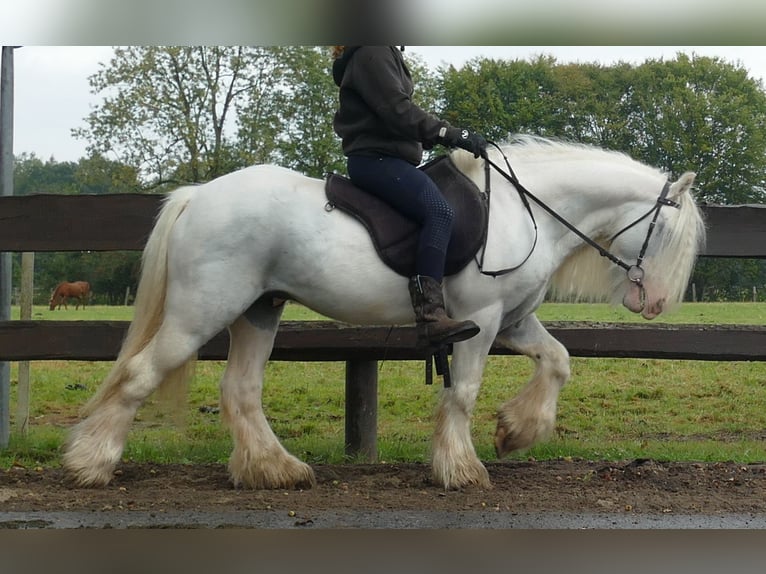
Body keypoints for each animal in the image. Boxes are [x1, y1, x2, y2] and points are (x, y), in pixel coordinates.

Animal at [64, 138, 708, 490]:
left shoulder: (515, 321)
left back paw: (275, 469)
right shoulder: (482, 321)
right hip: (202, 311)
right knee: (140, 375)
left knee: (240, 390)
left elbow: (558, 360)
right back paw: (91, 464)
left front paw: (516, 431)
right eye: (666, 232)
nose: (652, 304)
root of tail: (199, 195)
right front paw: (461, 468)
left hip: (258, 311)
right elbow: (463, 392)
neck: (526, 211)